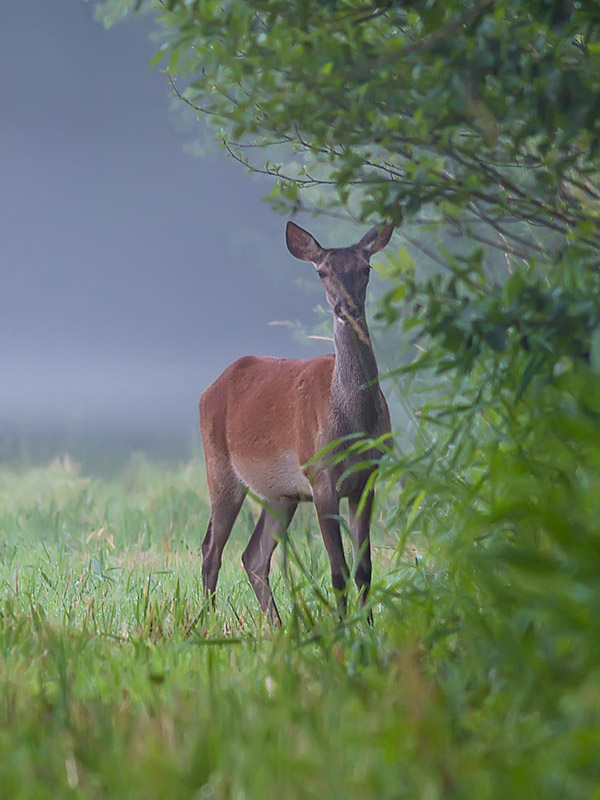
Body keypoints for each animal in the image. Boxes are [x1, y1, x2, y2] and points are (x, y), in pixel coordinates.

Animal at [199, 220, 396, 624]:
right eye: (322, 271)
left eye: (366, 268)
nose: (345, 307)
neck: (353, 424)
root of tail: (209, 390)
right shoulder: (319, 474)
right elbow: (338, 572)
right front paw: (343, 631)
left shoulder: (367, 476)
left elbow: (364, 569)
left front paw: (368, 628)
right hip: (220, 469)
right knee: (211, 550)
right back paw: (208, 623)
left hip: (280, 494)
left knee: (253, 556)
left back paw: (275, 625)